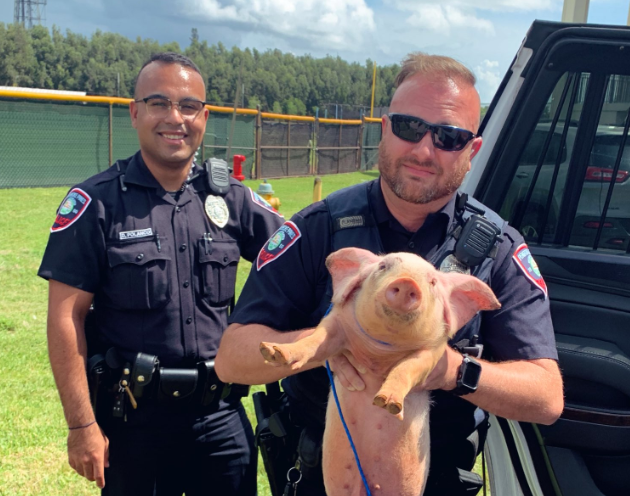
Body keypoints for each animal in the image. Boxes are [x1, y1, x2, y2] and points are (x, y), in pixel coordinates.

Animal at [260, 248, 502, 496]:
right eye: (383, 267)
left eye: (432, 282)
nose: (406, 282)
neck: (383, 349)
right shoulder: (336, 322)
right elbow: (314, 341)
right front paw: (272, 352)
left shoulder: (431, 353)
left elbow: (405, 369)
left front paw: (387, 404)